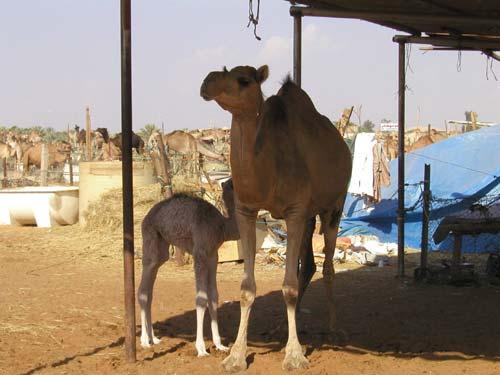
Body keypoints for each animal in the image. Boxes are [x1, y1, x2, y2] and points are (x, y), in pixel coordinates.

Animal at [137, 180, 238, 358]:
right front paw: (201, 349)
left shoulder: (213, 256)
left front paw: (220, 345)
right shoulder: (200, 254)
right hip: (150, 237)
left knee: (150, 291)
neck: (222, 226)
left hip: (162, 249)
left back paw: (153, 338)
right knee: (143, 290)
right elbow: (201, 298)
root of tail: (147, 216)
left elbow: (214, 296)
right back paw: (144, 341)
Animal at [199, 66, 352, 372]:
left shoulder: (294, 210)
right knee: (309, 265)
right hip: (308, 217)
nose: (207, 81)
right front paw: (236, 356)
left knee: (328, 265)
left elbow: (289, 286)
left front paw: (294, 356)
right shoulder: (247, 210)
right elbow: (247, 288)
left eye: (244, 80)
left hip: (334, 205)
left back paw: (333, 328)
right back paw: (283, 327)